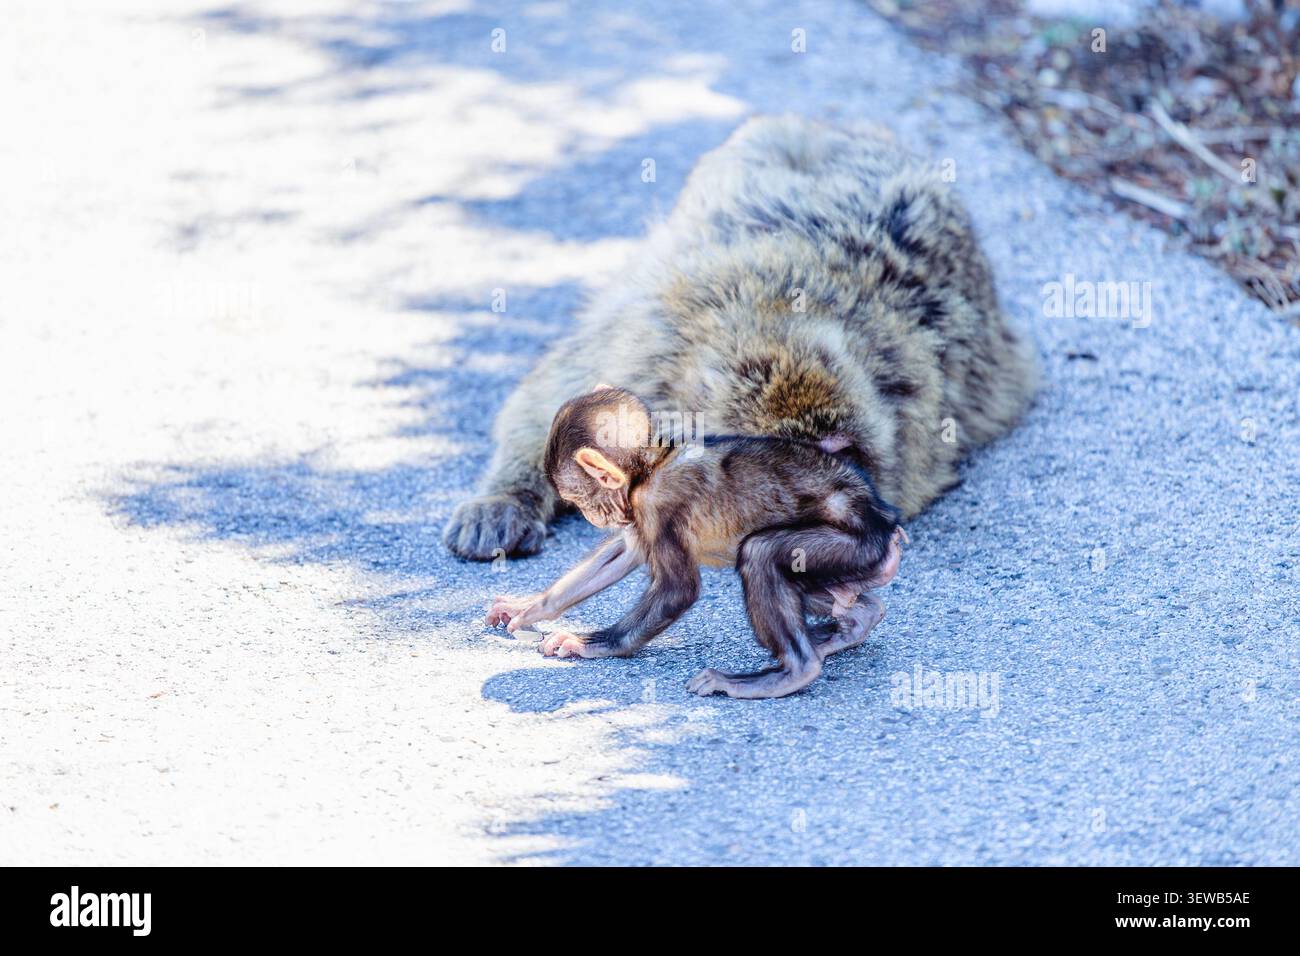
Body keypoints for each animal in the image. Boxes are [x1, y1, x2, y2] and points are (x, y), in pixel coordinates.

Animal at [484, 386, 907, 699]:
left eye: (576, 499)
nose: (591, 517)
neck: (652, 465)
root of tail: (887, 525)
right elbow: (626, 551)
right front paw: (531, 606)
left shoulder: (657, 503)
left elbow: (677, 589)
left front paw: (592, 643)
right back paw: (855, 620)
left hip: (857, 546)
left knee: (760, 553)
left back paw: (794, 670)